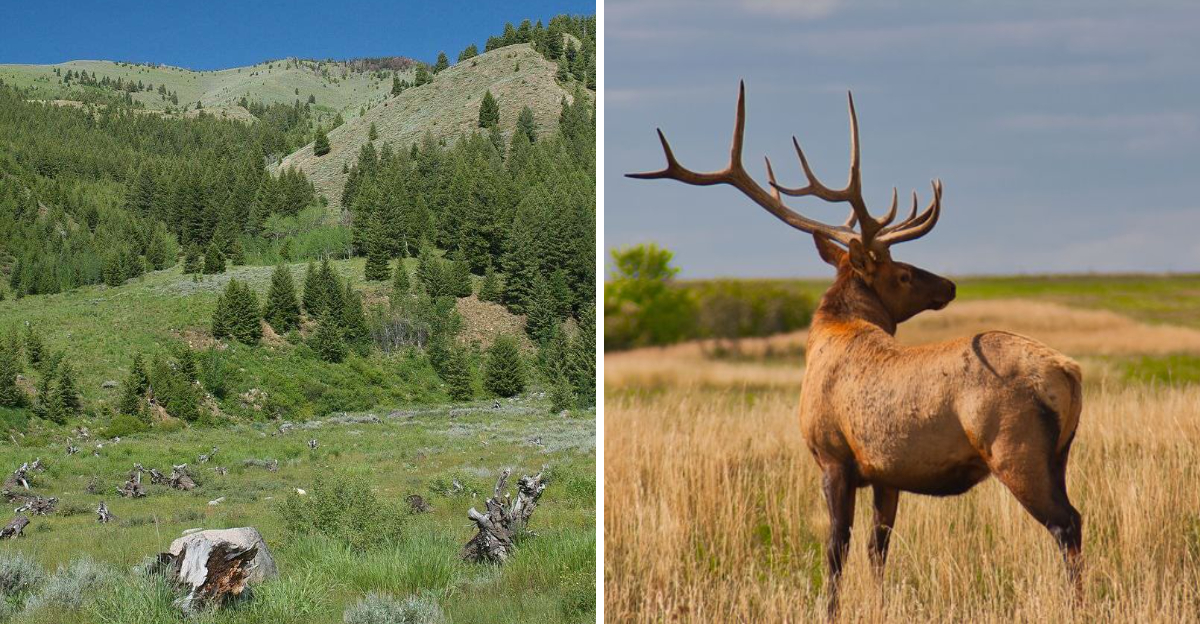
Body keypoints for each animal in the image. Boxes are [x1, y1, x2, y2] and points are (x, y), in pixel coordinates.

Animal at [629, 82, 1083, 616]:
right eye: (903, 273)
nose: (948, 285)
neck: (830, 335)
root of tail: (1068, 373)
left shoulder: (832, 456)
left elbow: (835, 547)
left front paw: (828, 609)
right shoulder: (886, 470)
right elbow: (877, 546)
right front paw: (880, 604)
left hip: (1015, 449)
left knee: (1066, 523)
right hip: (1059, 455)